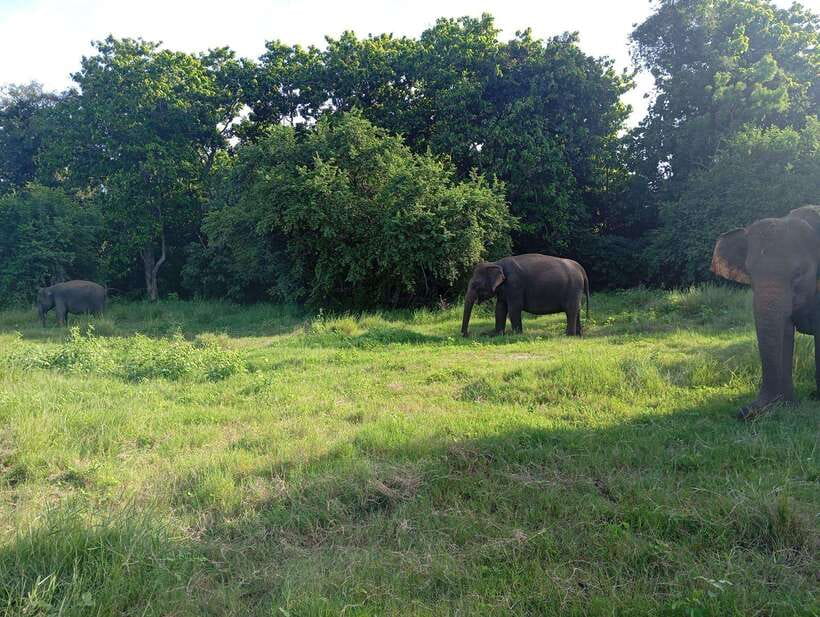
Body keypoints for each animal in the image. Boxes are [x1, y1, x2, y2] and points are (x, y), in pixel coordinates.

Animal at [461, 254, 589, 337]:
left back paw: (568, 335)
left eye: (476, 285)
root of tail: (581, 269)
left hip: (573, 288)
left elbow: (514, 309)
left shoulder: (515, 285)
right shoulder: (504, 290)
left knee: (571, 310)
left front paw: (516, 335)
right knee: (577, 310)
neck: (496, 263)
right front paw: (497, 334)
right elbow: (500, 309)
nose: (466, 334)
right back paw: (578, 335)